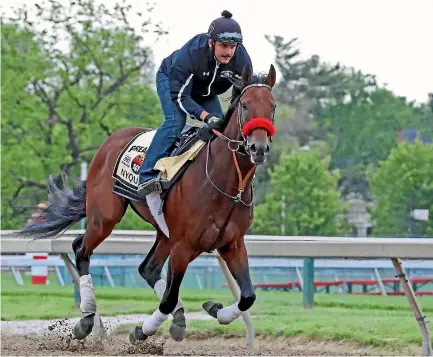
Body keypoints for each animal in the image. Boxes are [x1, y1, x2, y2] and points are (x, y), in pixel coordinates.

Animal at [17, 64, 276, 342]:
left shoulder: (232, 244)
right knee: (81, 249)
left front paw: (215, 309)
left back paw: (178, 316)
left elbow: (248, 296)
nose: (258, 148)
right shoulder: (184, 246)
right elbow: (168, 298)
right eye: (245, 105)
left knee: (148, 268)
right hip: (105, 217)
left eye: (272, 106)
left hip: (164, 232)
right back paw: (86, 320)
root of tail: (111, 140)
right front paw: (143, 330)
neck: (226, 183)